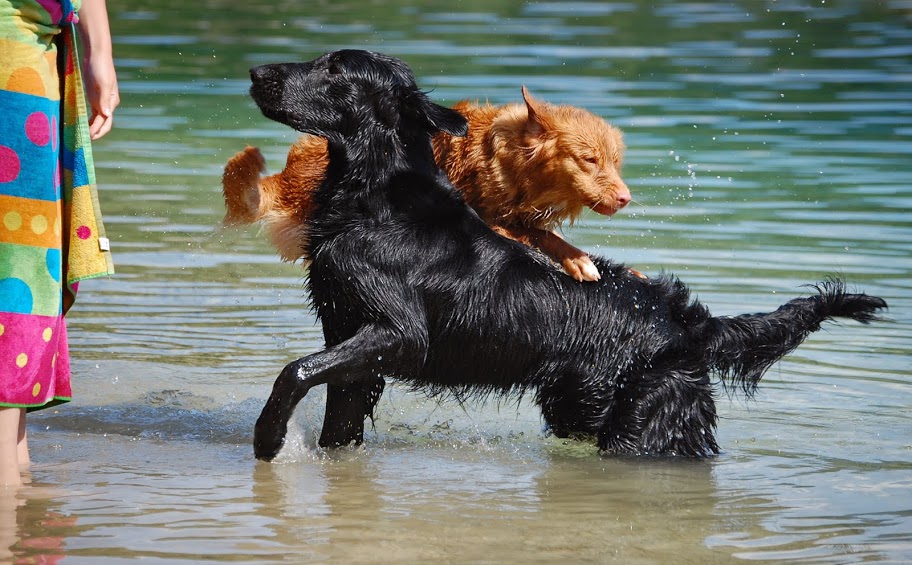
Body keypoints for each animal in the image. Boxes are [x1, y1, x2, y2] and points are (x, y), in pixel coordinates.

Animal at [224, 86, 632, 280]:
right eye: (589, 160)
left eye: (615, 163)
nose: (626, 198)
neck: (504, 165)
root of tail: (290, 174)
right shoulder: (488, 217)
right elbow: (539, 235)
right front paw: (578, 260)